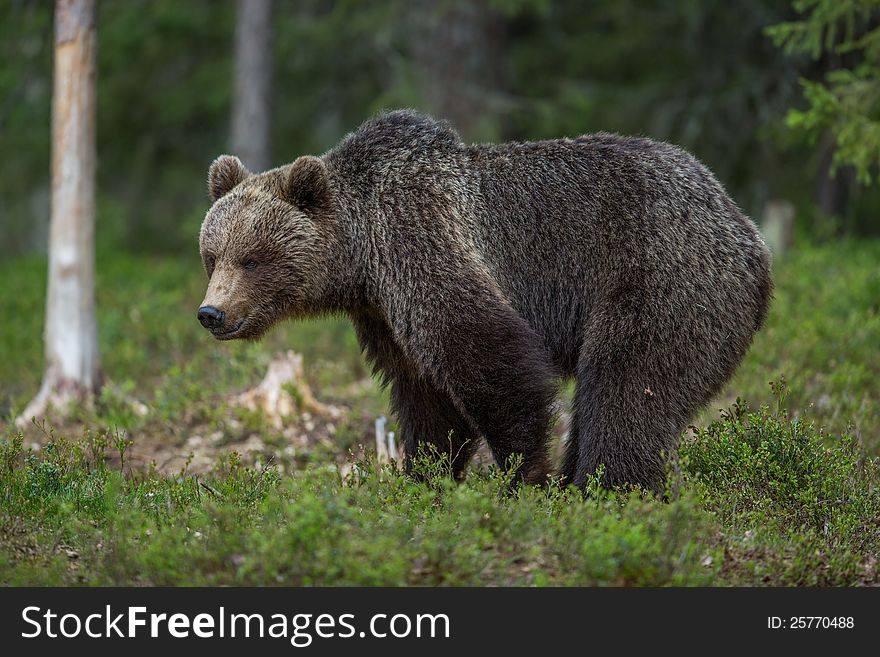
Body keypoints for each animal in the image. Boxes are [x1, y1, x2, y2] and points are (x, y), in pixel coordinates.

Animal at [198, 110, 768, 492]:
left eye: (252, 259)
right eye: (212, 255)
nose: (211, 313)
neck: (359, 259)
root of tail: (747, 232)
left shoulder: (420, 239)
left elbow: (488, 355)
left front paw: (523, 476)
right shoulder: (384, 313)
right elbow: (427, 396)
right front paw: (424, 478)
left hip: (661, 279)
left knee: (627, 389)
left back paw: (603, 490)